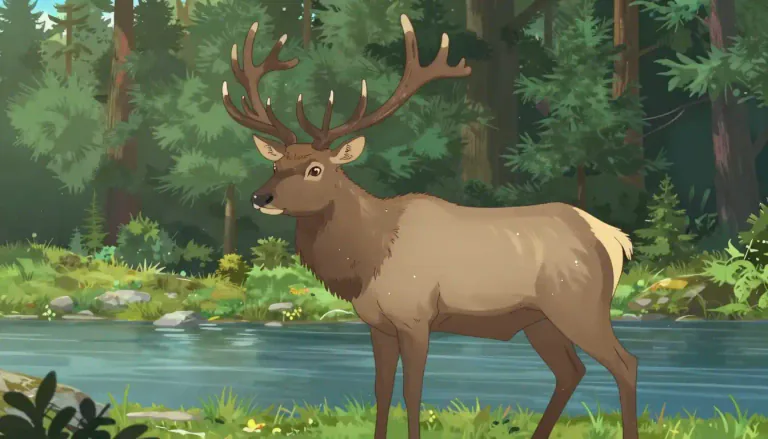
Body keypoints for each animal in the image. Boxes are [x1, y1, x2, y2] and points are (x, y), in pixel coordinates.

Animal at [221, 14, 639, 439]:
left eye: (315, 169)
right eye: (276, 164)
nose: (261, 197)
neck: (367, 259)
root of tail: (614, 239)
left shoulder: (415, 316)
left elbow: (413, 391)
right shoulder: (378, 323)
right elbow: (382, 389)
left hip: (580, 305)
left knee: (625, 363)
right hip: (541, 320)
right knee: (571, 371)